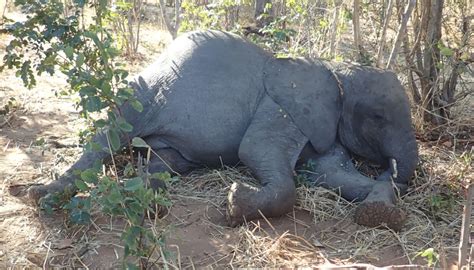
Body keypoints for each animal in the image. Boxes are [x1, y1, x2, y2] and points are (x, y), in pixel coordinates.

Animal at [26, 30, 418, 231]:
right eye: (378, 116)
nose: (389, 168)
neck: (333, 71)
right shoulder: (280, 107)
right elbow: (255, 150)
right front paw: (233, 205)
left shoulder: (322, 125)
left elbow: (332, 174)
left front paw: (379, 214)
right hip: (139, 95)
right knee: (106, 139)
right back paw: (42, 196)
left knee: (162, 164)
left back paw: (144, 200)